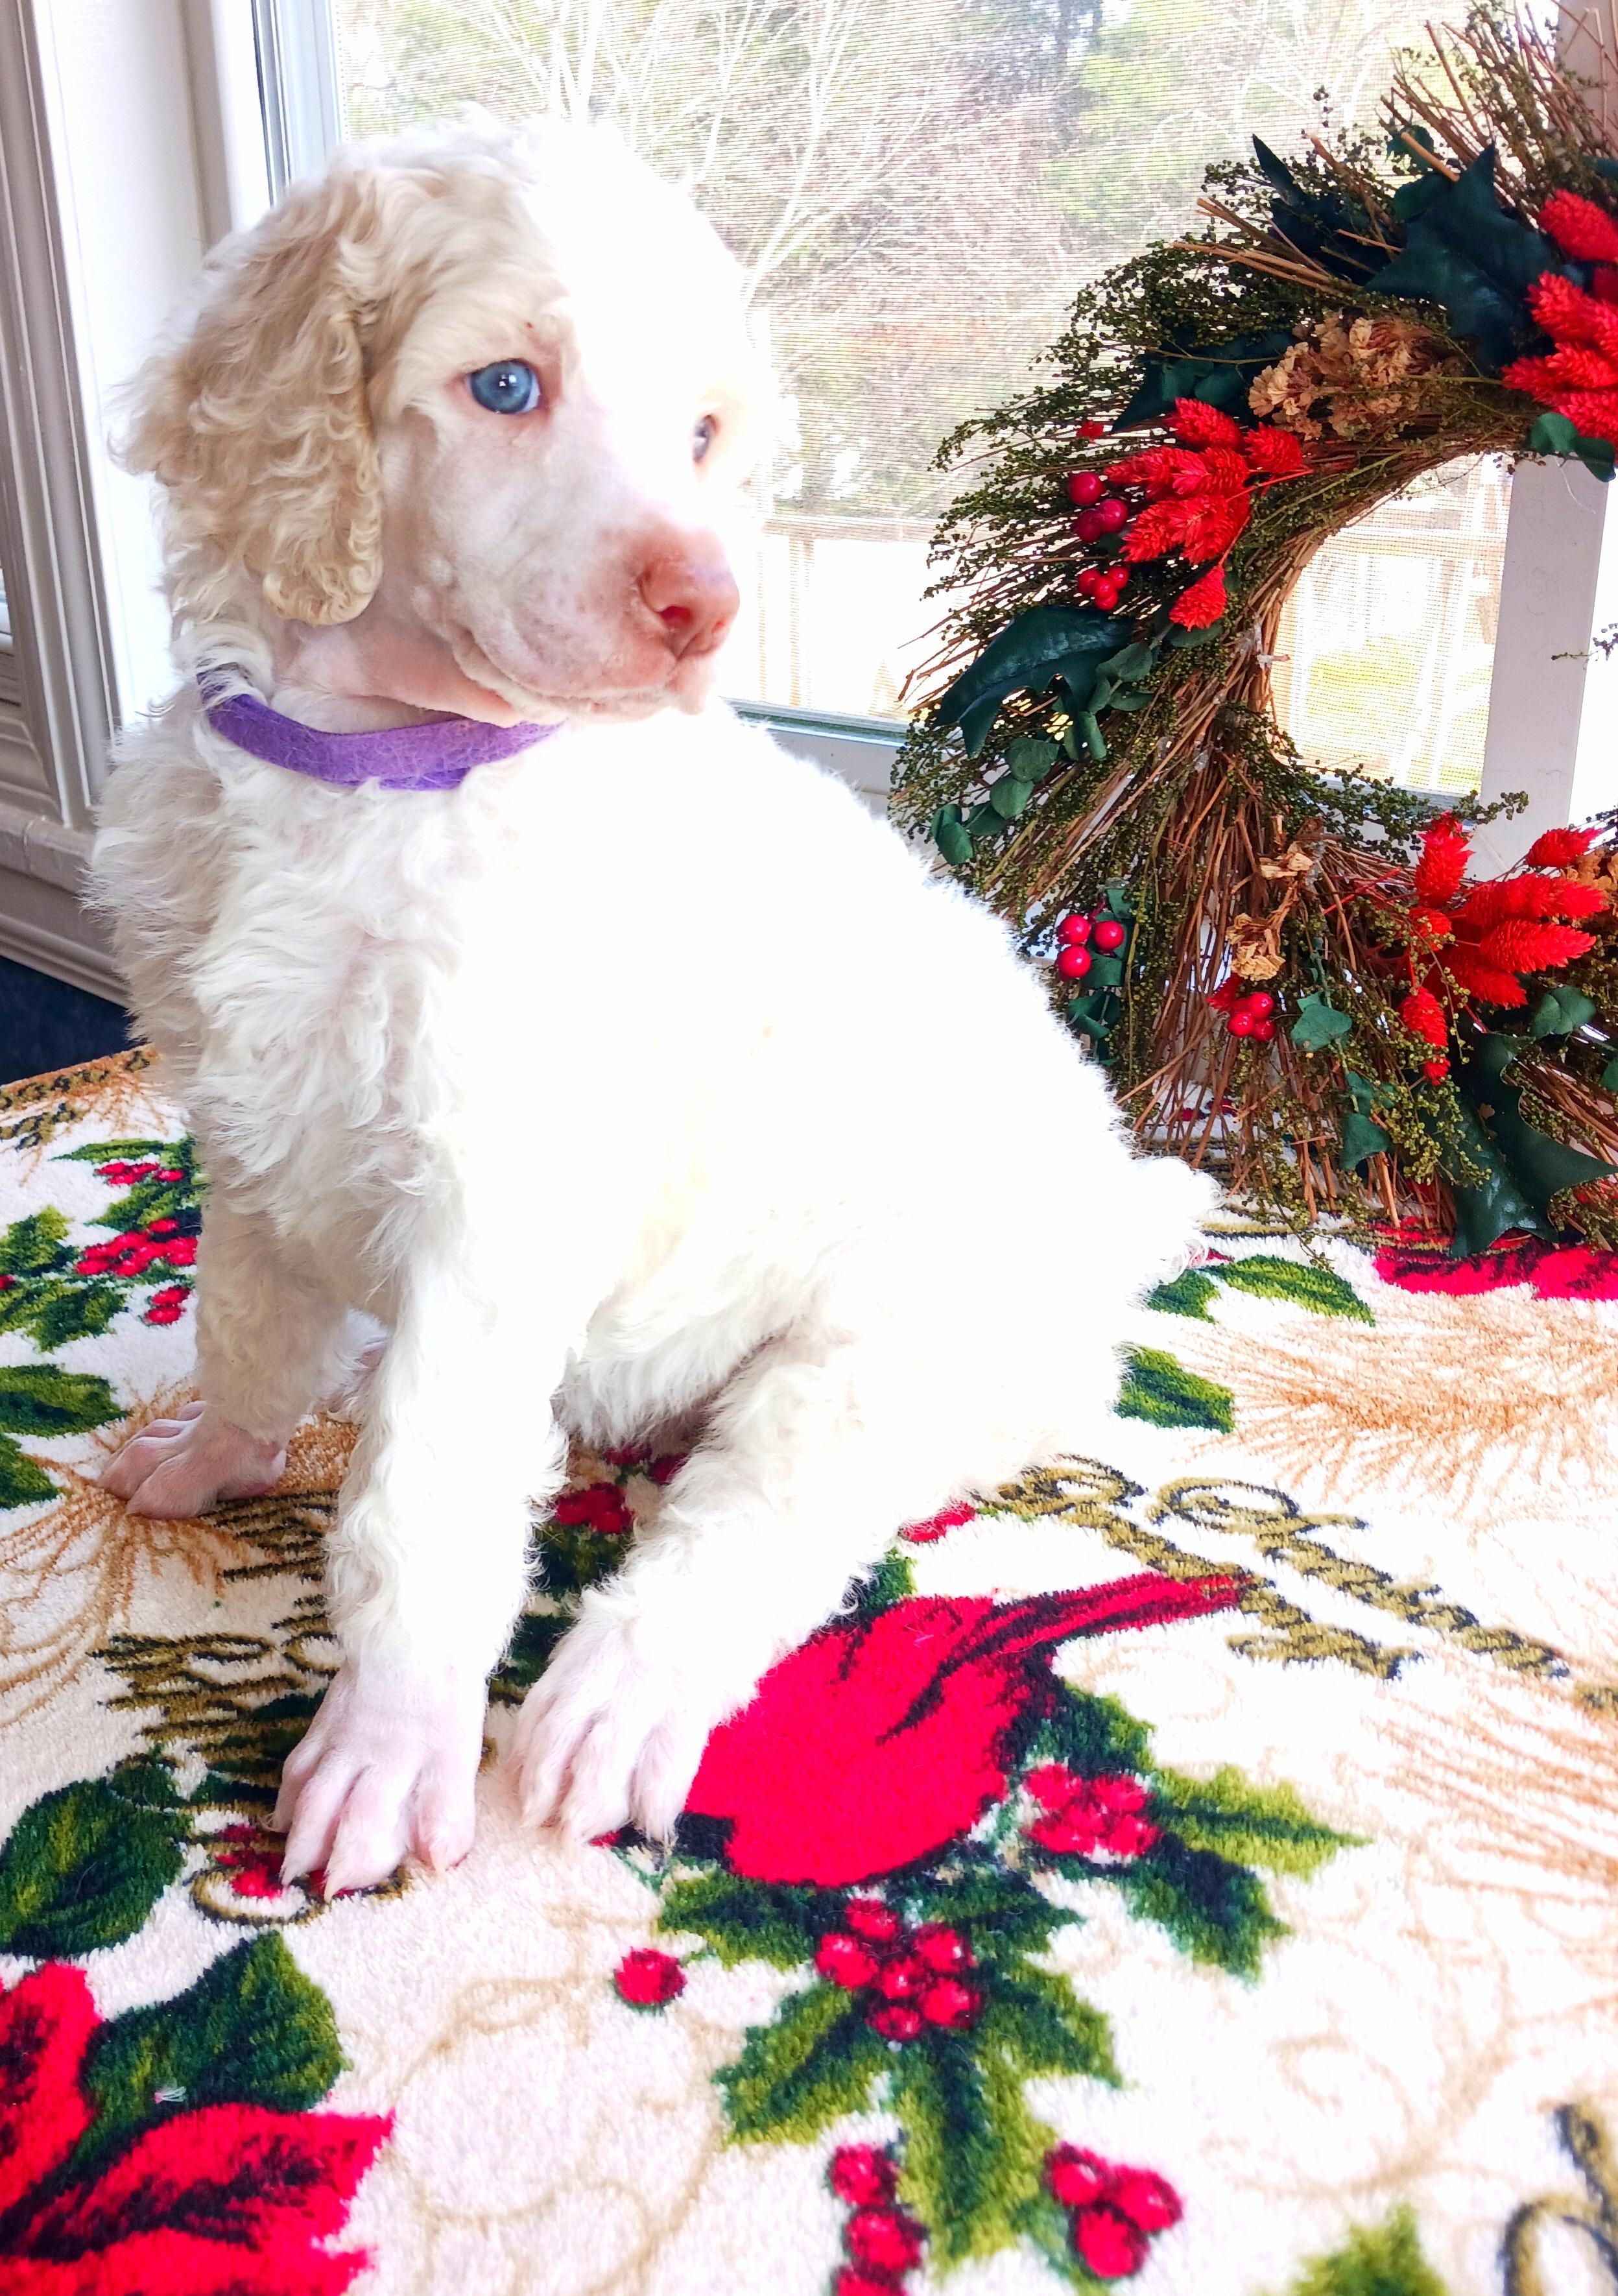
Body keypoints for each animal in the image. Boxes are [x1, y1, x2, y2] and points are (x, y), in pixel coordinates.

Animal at [92, 117, 1215, 1896]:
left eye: (700, 432)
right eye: (503, 387)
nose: (705, 605)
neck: (385, 773)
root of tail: (1107, 1203)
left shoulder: (496, 1206)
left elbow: (423, 1497)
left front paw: (383, 1748)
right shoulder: (248, 1127)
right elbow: (249, 1327)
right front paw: (212, 1457)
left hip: (894, 1331)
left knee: (772, 1516)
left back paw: (615, 1694)